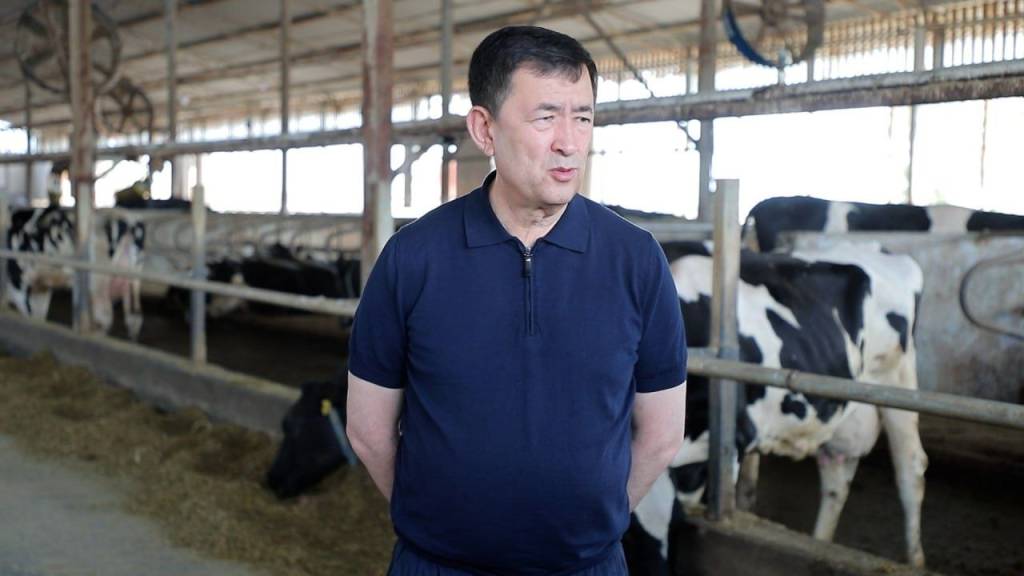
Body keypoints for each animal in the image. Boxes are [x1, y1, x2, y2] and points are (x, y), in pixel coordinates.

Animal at [4, 206, 146, 340]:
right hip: (132, 277)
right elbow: (39, 316)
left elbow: (30, 315)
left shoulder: (19, 283)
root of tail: (128, 219)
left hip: (98, 282)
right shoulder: (40, 287)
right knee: (134, 317)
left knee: (104, 317)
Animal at [628, 240, 928, 573]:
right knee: (836, 479)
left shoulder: (726, 444)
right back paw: (819, 544)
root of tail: (881, 248)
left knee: (911, 468)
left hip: (897, 381)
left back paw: (914, 560)